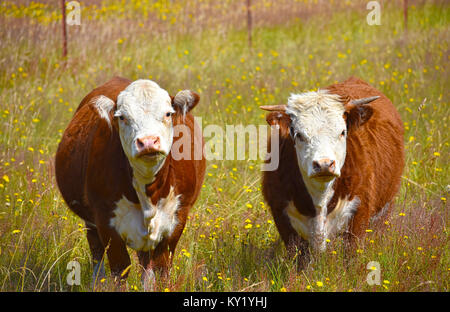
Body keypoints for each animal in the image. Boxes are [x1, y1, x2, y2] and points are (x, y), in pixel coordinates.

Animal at [55, 76, 207, 288]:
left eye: (168, 113)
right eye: (122, 117)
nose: (149, 142)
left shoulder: (177, 218)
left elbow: (162, 270)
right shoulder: (105, 221)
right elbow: (120, 269)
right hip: (91, 223)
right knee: (97, 253)